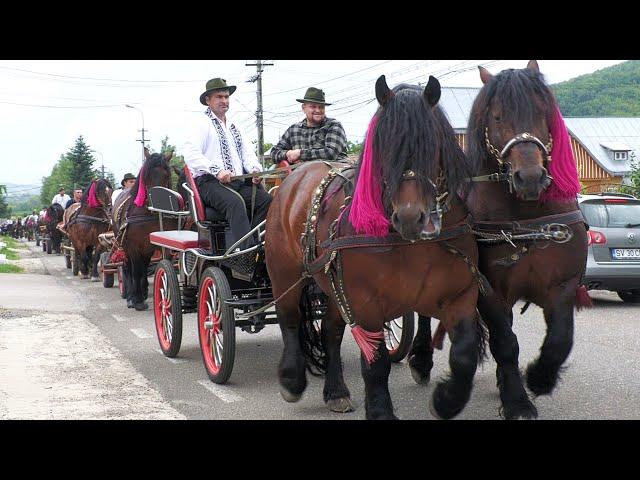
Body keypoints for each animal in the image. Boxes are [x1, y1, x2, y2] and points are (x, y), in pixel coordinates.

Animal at [113, 149, 176, 312]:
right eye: (147, 175)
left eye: (167, 174)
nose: (157, 202)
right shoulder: (133, 246)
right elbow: (136, 271)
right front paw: (137, 301)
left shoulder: (154, 244)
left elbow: (148, 268)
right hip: (124, 245)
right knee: (129, 268)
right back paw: (131, 296)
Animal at [264, 75, 484, 420]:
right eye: (382, 144)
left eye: (432, 142)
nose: (410, 216)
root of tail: (293, 178)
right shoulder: (366, 301)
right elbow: (376, 363)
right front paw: (381, 410)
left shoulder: (459, 294)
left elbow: (464, 353)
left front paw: (446, 399)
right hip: (285, 274)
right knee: (289, 320)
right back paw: (291, 380)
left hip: (334, 285)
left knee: (330, 331)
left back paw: (336, 391)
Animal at [410, 60, 592, 420]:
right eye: (496, 117)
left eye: (542, 112)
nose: (530, 178)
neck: (527, 216)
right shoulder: (490, 291)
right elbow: (505, 343)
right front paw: (517, 401)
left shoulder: (562, 284)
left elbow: (561, 337)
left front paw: (539, 377)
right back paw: (421, 360)